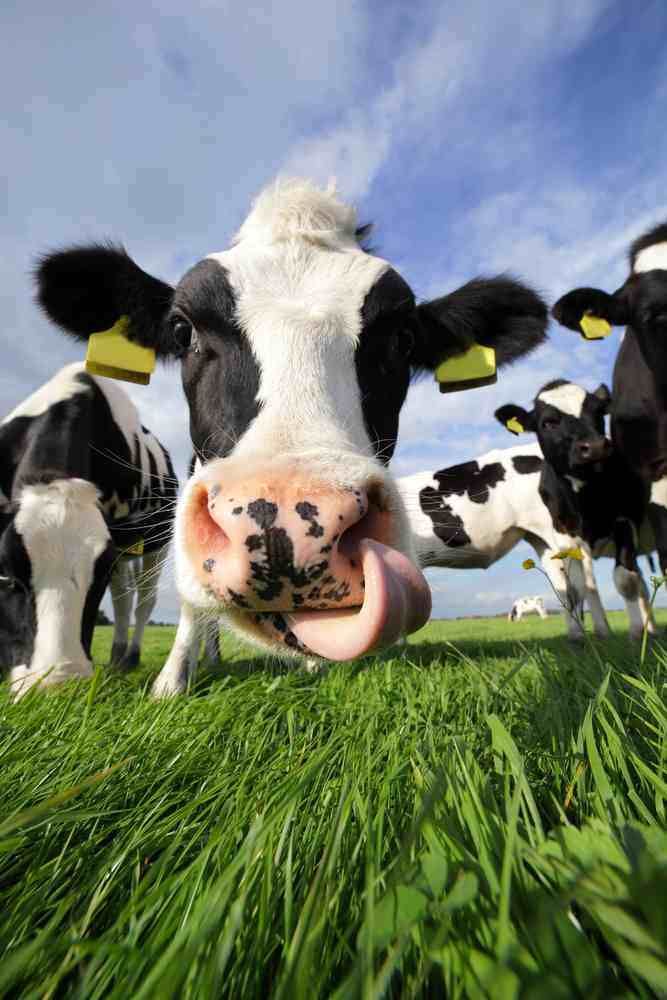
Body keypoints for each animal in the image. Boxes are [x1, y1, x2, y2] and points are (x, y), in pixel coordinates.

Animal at [0, 363, 178, 695]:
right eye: (5, 575)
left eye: (99, 578)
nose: (57, 687)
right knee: (123, 599)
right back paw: (117, 658)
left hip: (157, 545)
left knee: (143, 601)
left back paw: (130, 657)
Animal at [34, 177, 549, 695]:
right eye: (183, 330)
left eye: (403, 339)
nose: (284, 524)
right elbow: (190, 603)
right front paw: (172, 682)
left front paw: (312, 664)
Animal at [396, 441, 609, 641]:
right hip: (544, 540)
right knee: (572, 584)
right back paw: (590, 633)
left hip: (562, 531)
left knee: (577, 585)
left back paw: (586, 636)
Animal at [495, 380, 655, 639]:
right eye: (548, 422)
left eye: (598, 411)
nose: (596, 447)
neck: (586, 496)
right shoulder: (565, 536)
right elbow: (574, 589)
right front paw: (580, 637)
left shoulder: (625, 520)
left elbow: (625, 580)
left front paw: (636, 633)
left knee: (637, 582)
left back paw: (647, 629)